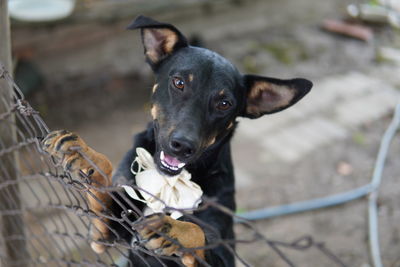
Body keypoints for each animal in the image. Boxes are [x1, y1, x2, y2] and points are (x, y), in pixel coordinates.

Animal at [43, 15, 312, 266]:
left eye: (224, 104)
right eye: (179, 82)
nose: (183, 146)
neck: (168, 180)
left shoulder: (223, 252)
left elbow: (198, 231)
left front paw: (172, 229)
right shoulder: (104, 233)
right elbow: (103, 185)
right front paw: (85, 155)